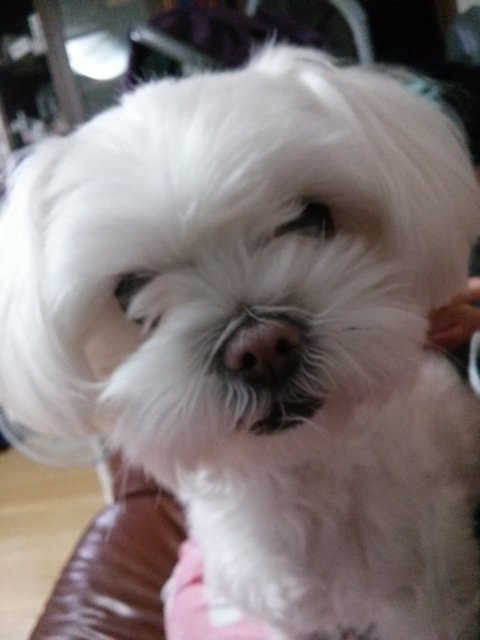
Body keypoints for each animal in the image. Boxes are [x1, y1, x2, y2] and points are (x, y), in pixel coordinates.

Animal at [1, 46, 480, 639]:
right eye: (130, 289)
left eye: (313, 217)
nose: (262, 347)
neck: (301, 478)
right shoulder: (292, 617)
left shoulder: (426, 604)